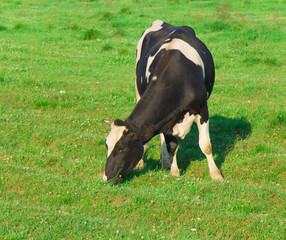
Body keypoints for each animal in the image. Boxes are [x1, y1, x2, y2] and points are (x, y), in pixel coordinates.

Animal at [102, 20, 223, 184]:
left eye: (121, 147)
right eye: (107, 145)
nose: (106, 177)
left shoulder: (203, 109)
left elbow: (206, 145)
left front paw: (216, 175)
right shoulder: (166, 119)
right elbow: (171, 145)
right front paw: (174, 171)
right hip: (138, 89)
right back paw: (160, 162)